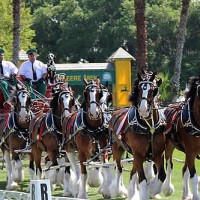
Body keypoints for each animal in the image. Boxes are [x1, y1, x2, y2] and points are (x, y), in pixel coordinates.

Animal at [106, 71, 166, 199]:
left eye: (153, 89)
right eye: (139, 88)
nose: (143, 109)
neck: (149, 128)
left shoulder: (158, 154)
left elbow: (162, 175)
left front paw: (152, 190)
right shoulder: (138, 154)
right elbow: (142, 179)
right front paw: (146, 193)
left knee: (133, 172)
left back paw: (131, 193)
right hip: (116, 148)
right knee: (119, 168)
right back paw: (116, 191)